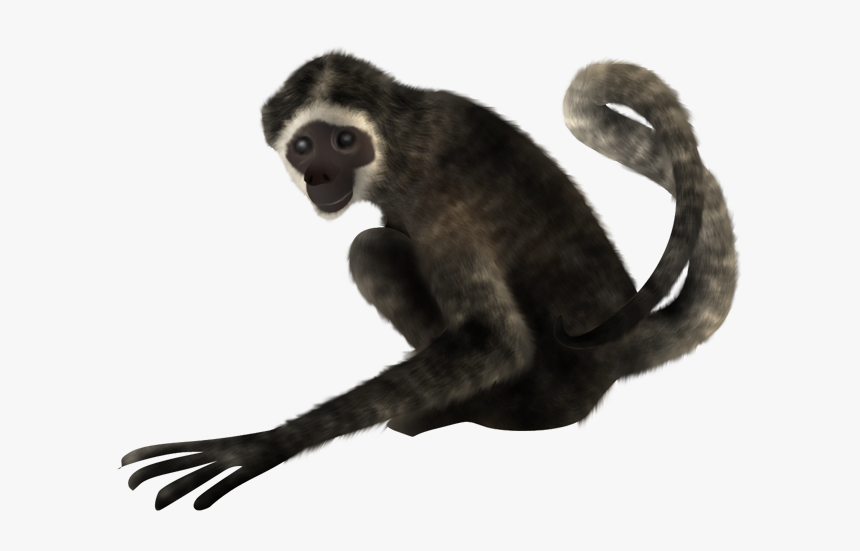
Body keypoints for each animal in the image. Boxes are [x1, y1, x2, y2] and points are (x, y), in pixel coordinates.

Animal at [121, 52, 737, 510]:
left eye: (342, 142)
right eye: (303, 146)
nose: (318, 175)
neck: (405, 145)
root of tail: (617, 348)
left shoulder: (441, 197)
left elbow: (495, 342)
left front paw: (260, 446)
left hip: (550, 395)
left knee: (369, 248)